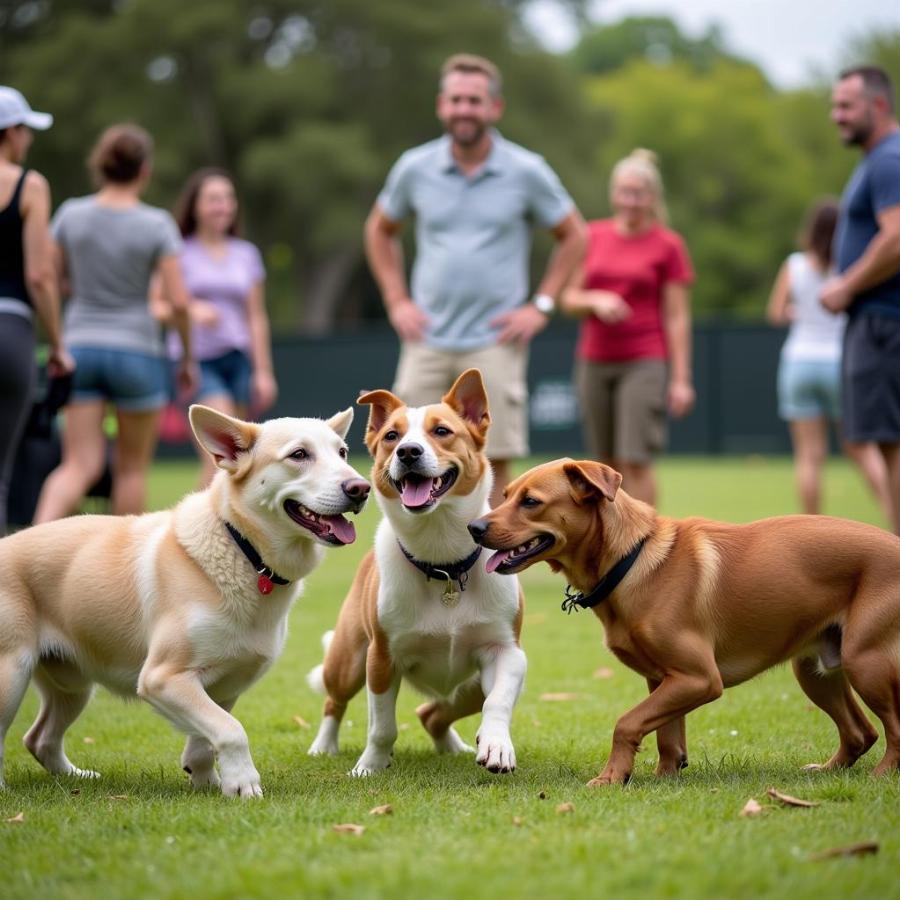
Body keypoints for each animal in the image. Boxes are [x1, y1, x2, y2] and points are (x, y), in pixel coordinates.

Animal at [0, 404, 370, 800]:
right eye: (299, 455)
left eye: (343, 453)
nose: (361, 488)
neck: (244, 549)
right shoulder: (163, 678)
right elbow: (231, 730)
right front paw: (244, 783)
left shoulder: (224, 686)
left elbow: (206, 739)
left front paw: (208, 780)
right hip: (12, 675)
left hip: (73, 686)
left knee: (39, 738)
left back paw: (77, 777)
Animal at [306, 370, 524, 776]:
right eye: (392, 436)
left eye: (441, 431)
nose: (408, 452)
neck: (443, 564)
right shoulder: (381, 659)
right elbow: (382, 726)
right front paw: (370, 765)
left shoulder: (507, 652)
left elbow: (498, 702)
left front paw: (497, 745)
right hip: (348, 660)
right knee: (334, 700)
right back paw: (323, 745)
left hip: (467, 687)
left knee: (431, 713)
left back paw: (452, 745)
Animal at [468, 460, 900, 784]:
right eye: (504, 496)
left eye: (530, 502)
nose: (475, 528)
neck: (631, 560)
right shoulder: (666, 679)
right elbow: (667, 736)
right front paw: (664, 776)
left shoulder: (700, 678)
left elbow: (627, 723)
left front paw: (611, 777)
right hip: (814, 670)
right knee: (861, 733)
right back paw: (827, 770)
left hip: (865, 662)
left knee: (893, 729)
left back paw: (881, 775)